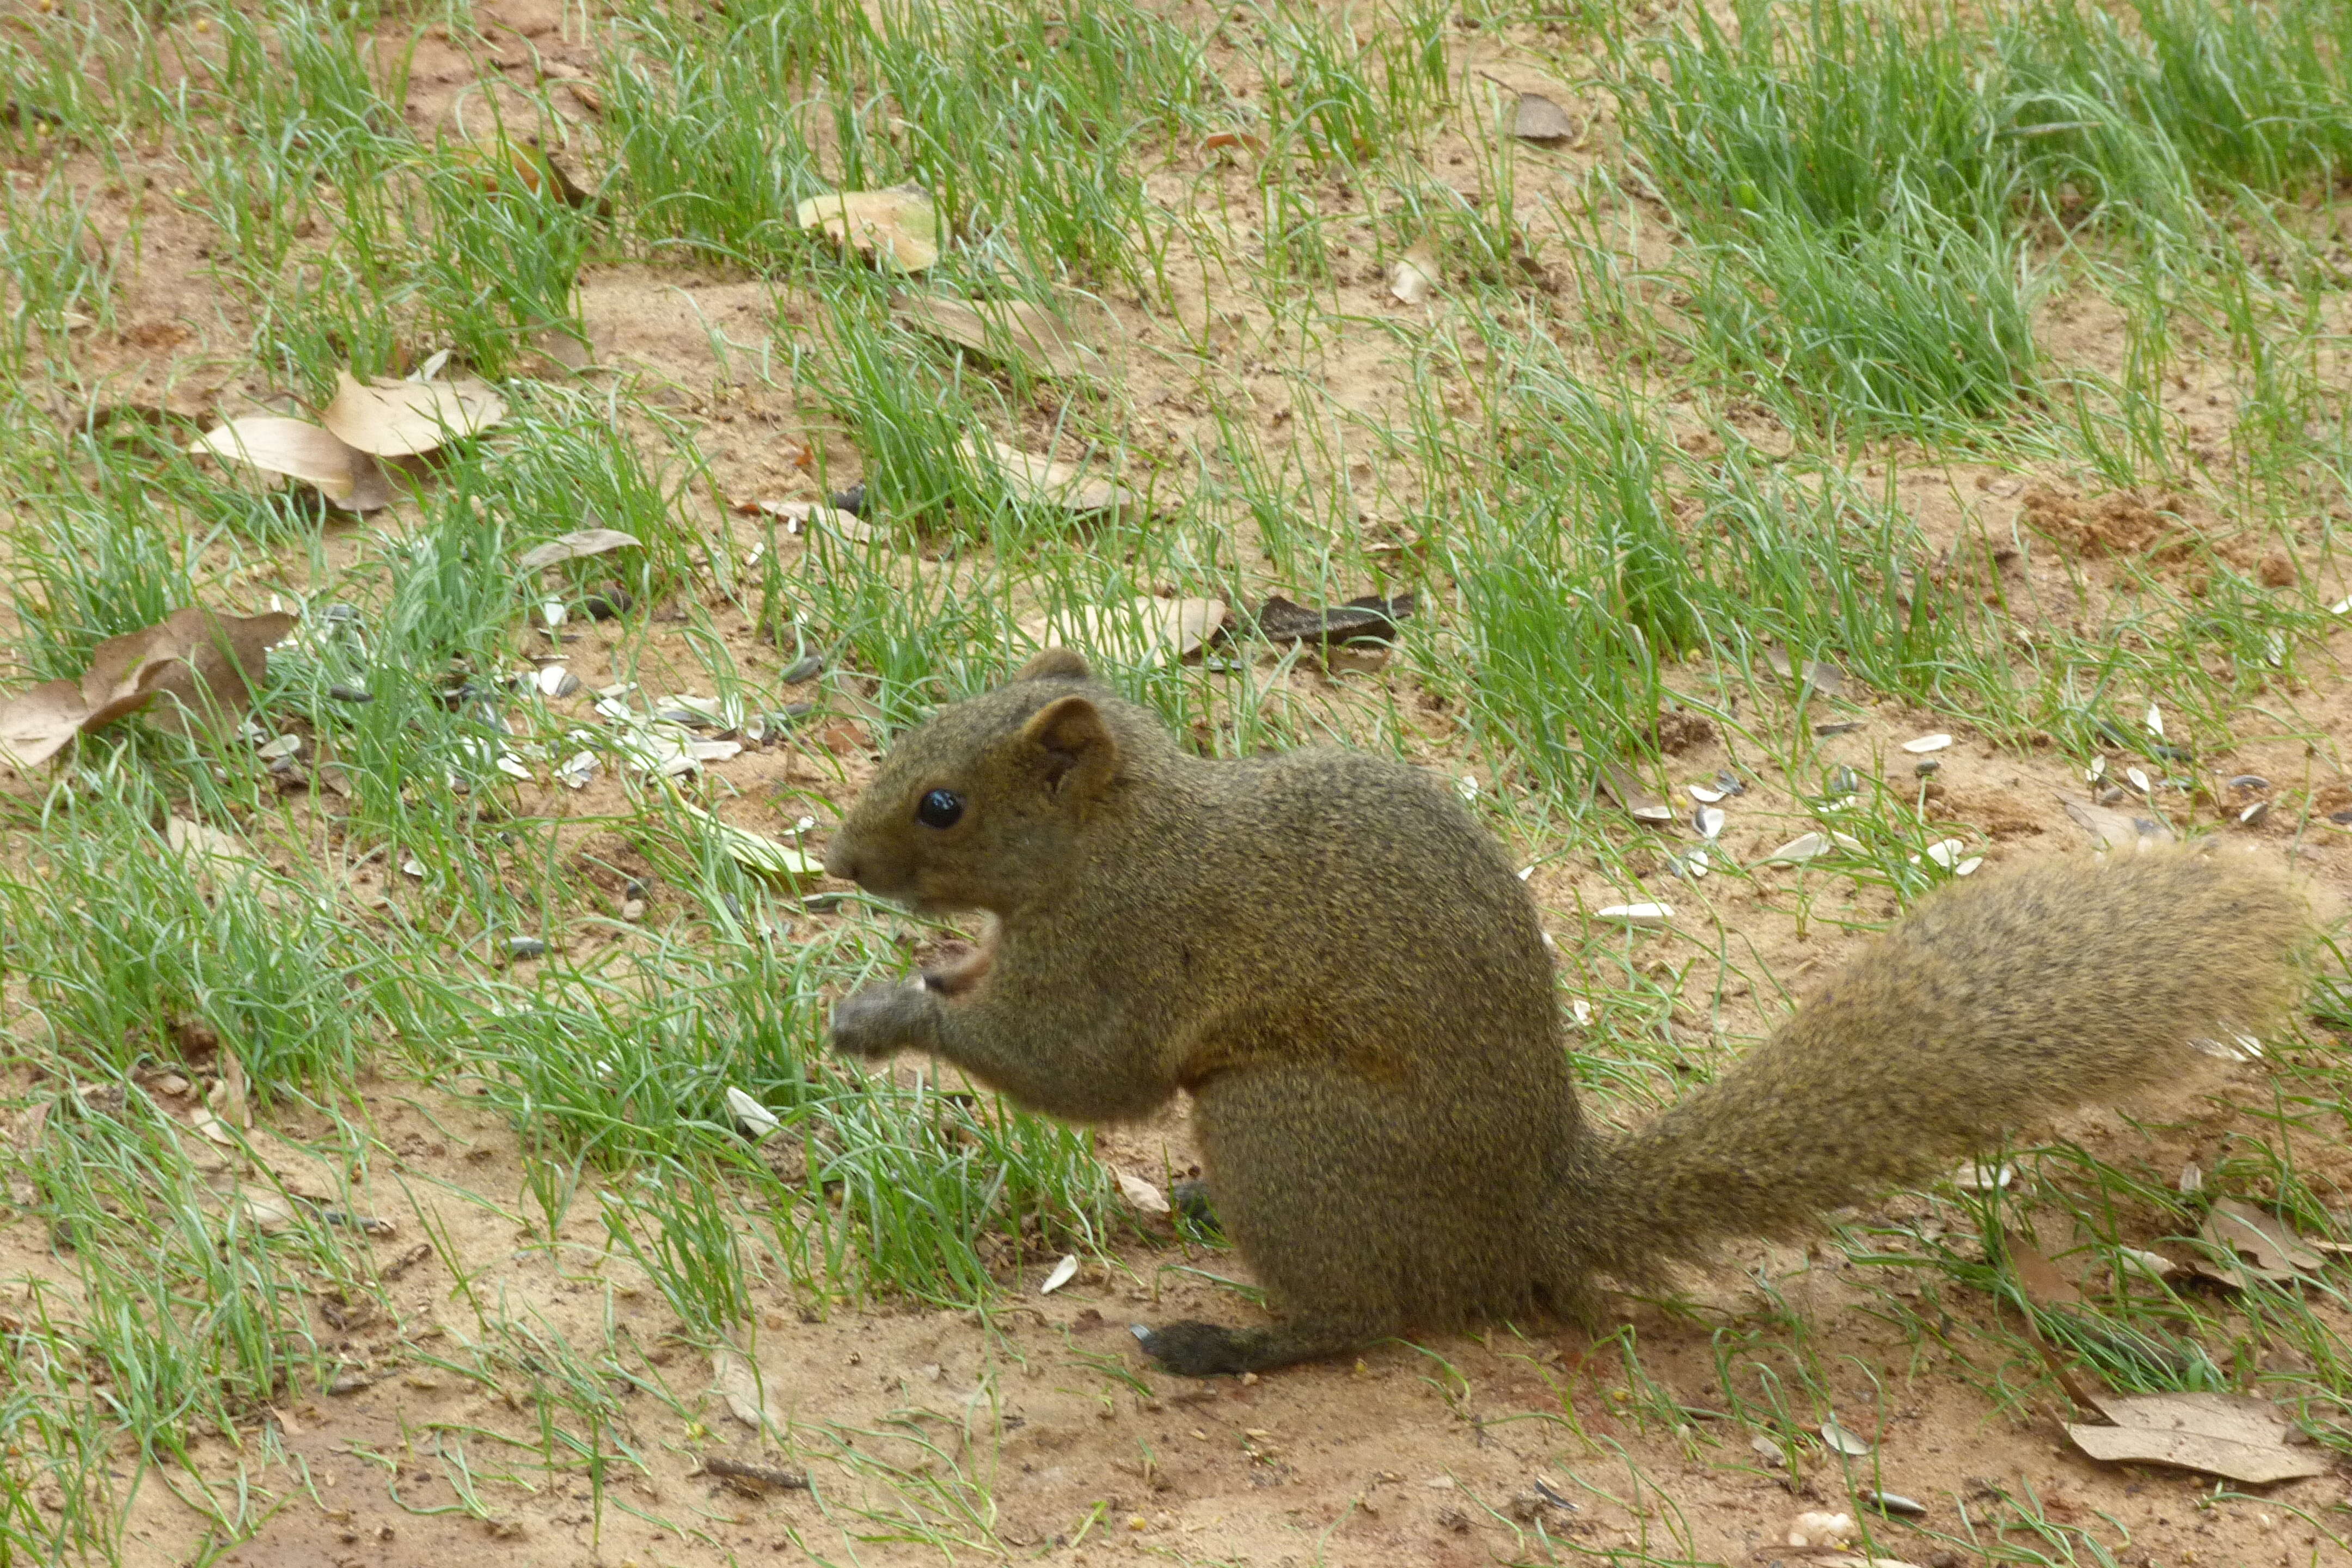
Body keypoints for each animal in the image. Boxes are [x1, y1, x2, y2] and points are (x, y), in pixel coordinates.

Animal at [828, 648, 2314, 1373]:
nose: (841, 860)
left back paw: (1228, 1343)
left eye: (943, 803)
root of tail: (1530, 1228)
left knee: (1372, 1316)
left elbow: (1083, 1069)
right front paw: (914, 985)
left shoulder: (1134, 951)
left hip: (1284, 1129)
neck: (1125, 839)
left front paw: (890, 1016)